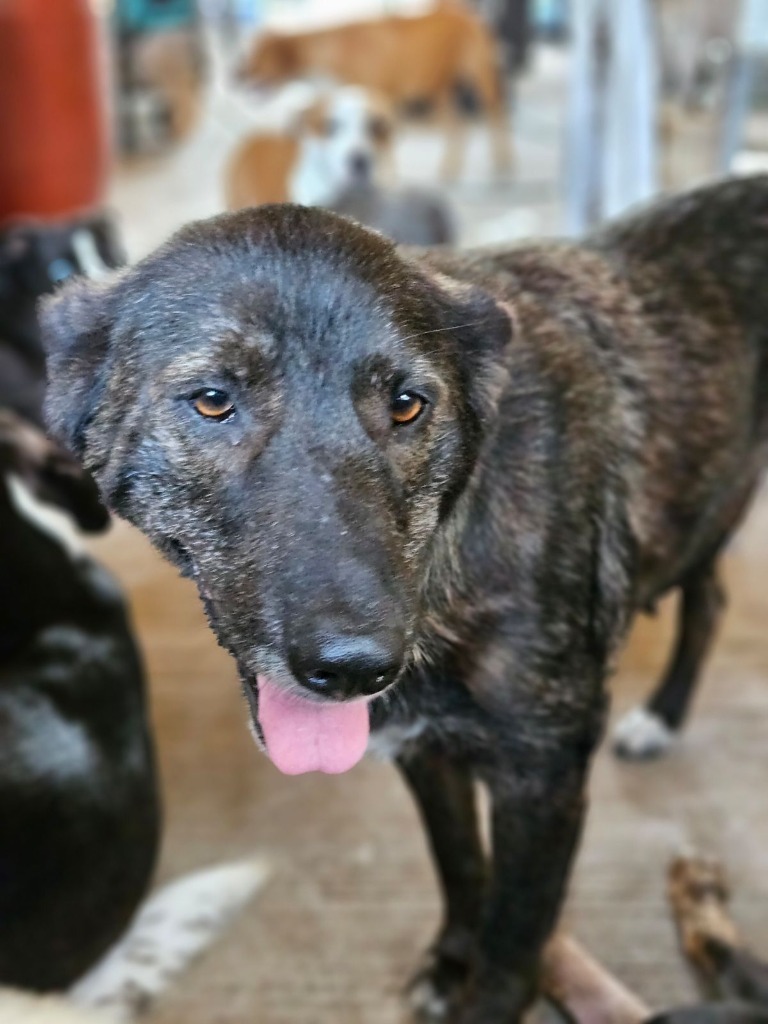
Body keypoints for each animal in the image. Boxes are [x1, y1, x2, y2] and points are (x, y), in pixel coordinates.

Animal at [40, 178, 768, 1024]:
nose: (357, 668)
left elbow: (512, 951)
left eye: (409, 405)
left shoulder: (543, 784)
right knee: (710, 597)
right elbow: (460, 866)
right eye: (213, 400)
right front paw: (450, 962)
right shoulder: (426, 751)